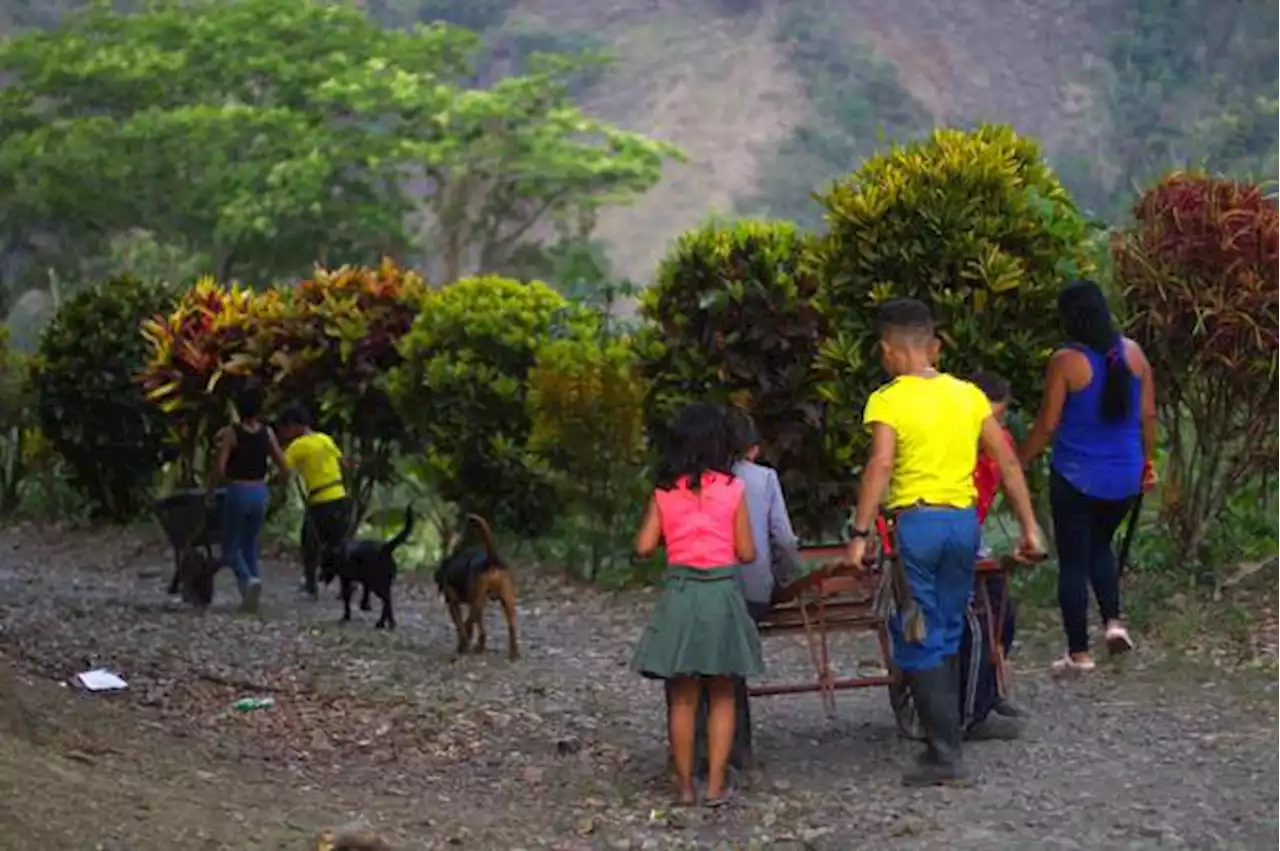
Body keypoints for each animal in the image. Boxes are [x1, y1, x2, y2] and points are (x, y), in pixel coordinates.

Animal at [435, 511, 519, 655]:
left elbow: (460, 625)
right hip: (506, 600)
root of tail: (491, 560)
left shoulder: (453, 604)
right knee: (511, 626)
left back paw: (468, 644)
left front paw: (463, 643)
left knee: (470, 624)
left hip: (477, 601)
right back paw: (513, 654)